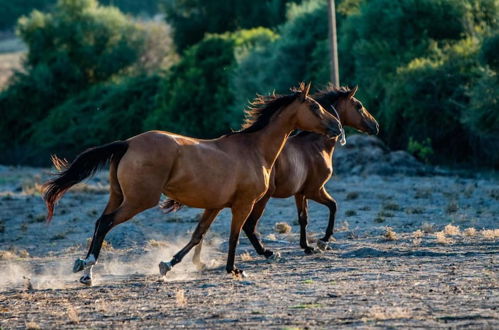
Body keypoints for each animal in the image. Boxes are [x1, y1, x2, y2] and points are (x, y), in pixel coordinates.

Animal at [43, 82, 342, 284]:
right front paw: (234, 269)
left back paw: (85, 269)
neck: (254, 149)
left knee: (99, 222)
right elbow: (236, 234)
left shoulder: (215, 206)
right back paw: (88, 268)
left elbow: (197, 235)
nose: (337, 128)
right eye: (315, 107)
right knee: (105, 223)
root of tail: (127, 143)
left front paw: (167, 265)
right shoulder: (243, 204)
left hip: (118, 196)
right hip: (139, 200)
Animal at [188, 85, 378, 262]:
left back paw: (198, 260)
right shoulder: (315, 190)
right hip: (260, 199)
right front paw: (322, 241)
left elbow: (303, 218)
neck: (315, 146)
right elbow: (333, 206)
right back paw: (265, 252)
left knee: (207, 226)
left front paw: (307, 246)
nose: (376, 126)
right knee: (248, 225)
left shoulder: (300, 193)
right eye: (359, 106)